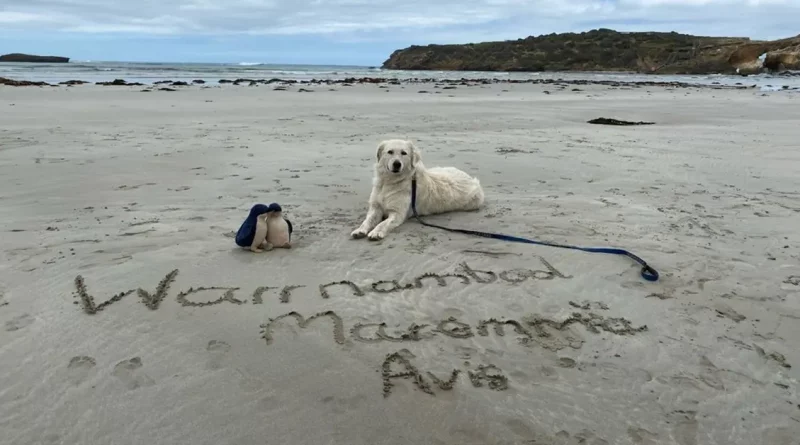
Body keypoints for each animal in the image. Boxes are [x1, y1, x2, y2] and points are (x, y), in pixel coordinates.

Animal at [348, 140, 482, 241]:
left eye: (404, 153)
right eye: (390, 152)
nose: (397, 164)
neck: (390, 182)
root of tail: (471, 178)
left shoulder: (397, 213)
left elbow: (383, 223)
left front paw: (376, 232)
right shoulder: (376, 208)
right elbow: (367, 220)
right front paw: (359, 230)